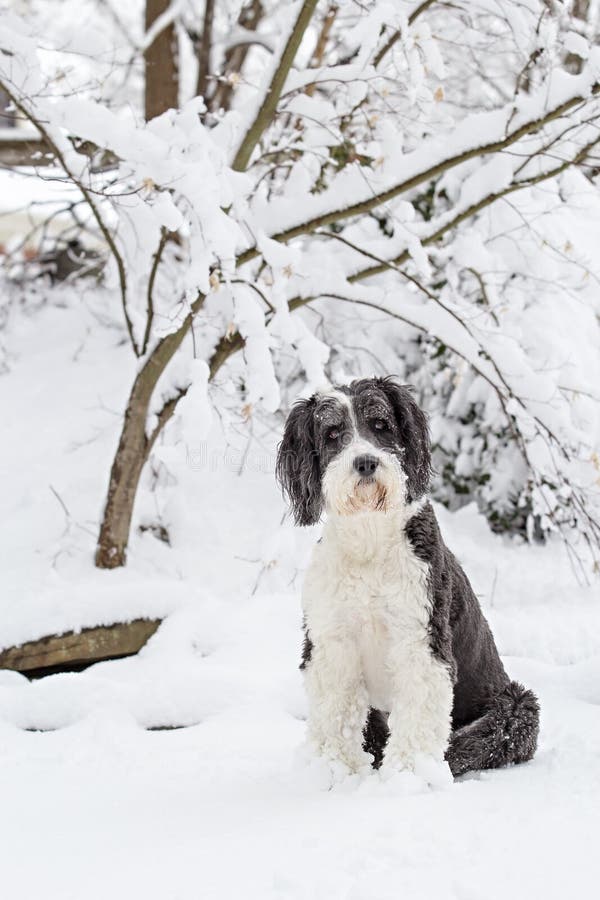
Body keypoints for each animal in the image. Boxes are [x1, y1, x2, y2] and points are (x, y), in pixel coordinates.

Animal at [276, 376, 540, 776]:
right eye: (333, 433)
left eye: (380, 424)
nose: (365, 462)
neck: (369, 540)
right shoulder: (331, 641)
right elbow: (335, 714)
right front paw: (334, 771)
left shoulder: (421, 638)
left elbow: (417, 716)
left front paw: (407, 775)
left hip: (515, 706)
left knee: (477, 741)